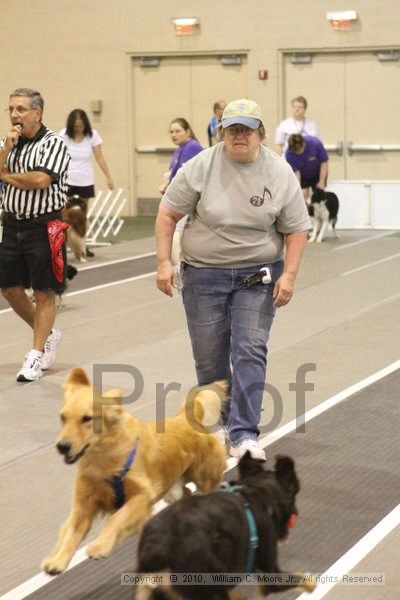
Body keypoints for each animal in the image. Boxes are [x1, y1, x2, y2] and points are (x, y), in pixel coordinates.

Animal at [43, 368, 228, 576]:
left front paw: (100, 545)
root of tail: (184, 417)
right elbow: (70, 533)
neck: (103, 459)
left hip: (205, 475)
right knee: (186, 493)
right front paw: (57, 560)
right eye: (62, 417)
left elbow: (116, 518)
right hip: (172, 488)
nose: (62, 446)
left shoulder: (142, 495)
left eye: (87, 419)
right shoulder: (84, 502)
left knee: (212, 486)